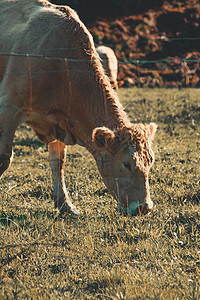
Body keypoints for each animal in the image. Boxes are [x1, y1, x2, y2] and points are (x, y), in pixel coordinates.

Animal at [0, 0, 156, 216]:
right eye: (126, 163)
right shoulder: (8, 107)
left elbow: (58, 162)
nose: (144, 207)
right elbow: (4, 158)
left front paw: (65, 204)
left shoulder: (58, 119)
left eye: (150, 161)